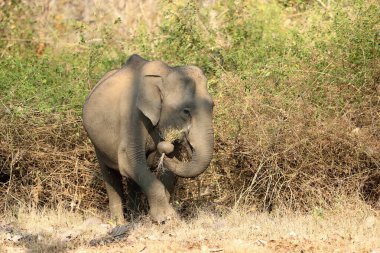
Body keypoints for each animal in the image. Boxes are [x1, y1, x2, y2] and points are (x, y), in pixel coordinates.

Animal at [82, 53, 214, 223]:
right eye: (185, 111)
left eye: (212, 106)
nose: (164, 147)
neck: (165, 74)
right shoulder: (132, 115)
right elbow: (129, 161)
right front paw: (166, 218)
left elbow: (166, 172)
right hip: (96, 142)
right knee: (111, 175)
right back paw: (118, 222)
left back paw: (135, 218)